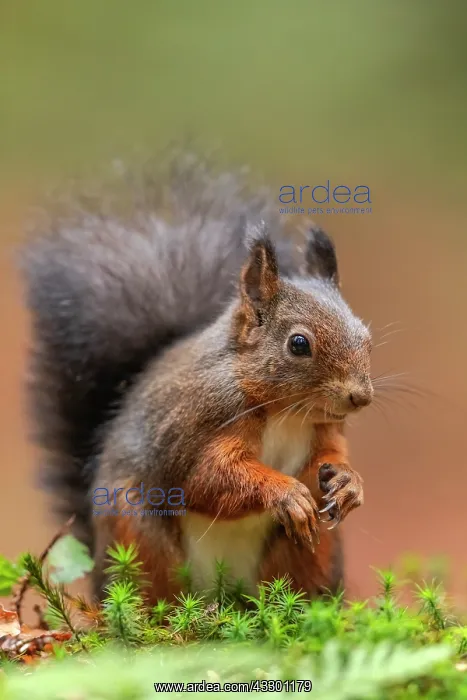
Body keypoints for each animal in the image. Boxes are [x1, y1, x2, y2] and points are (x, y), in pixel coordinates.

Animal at [21, 155, 373, 602]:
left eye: (366, 335)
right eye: (298, 344)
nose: (360, 397)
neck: (286, 412)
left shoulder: (323, 430)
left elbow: (326, 461)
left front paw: (348, 482)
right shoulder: (199, 426)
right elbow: (207, 480)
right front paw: (286, 492)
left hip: (311, 551)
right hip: (138, 536)